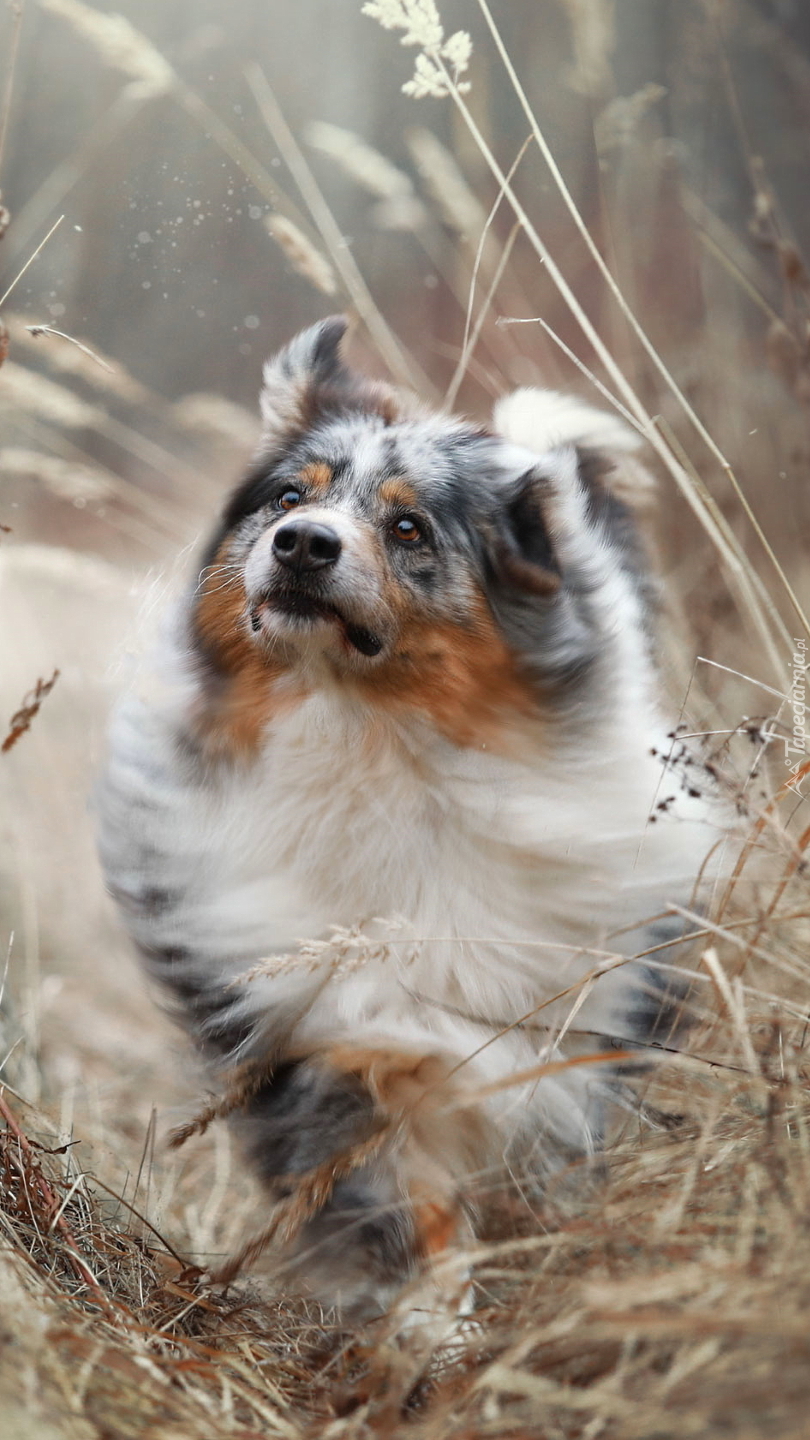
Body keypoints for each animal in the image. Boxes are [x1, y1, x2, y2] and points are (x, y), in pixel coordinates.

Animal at [95, 321, 717, 1330]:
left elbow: (560, 1151)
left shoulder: (583, 1011)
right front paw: (434, 1331)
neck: (374, 744)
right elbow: (402, 1205)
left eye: (408, 526)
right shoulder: (334, 1039)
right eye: (287, 498)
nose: (301, 545)